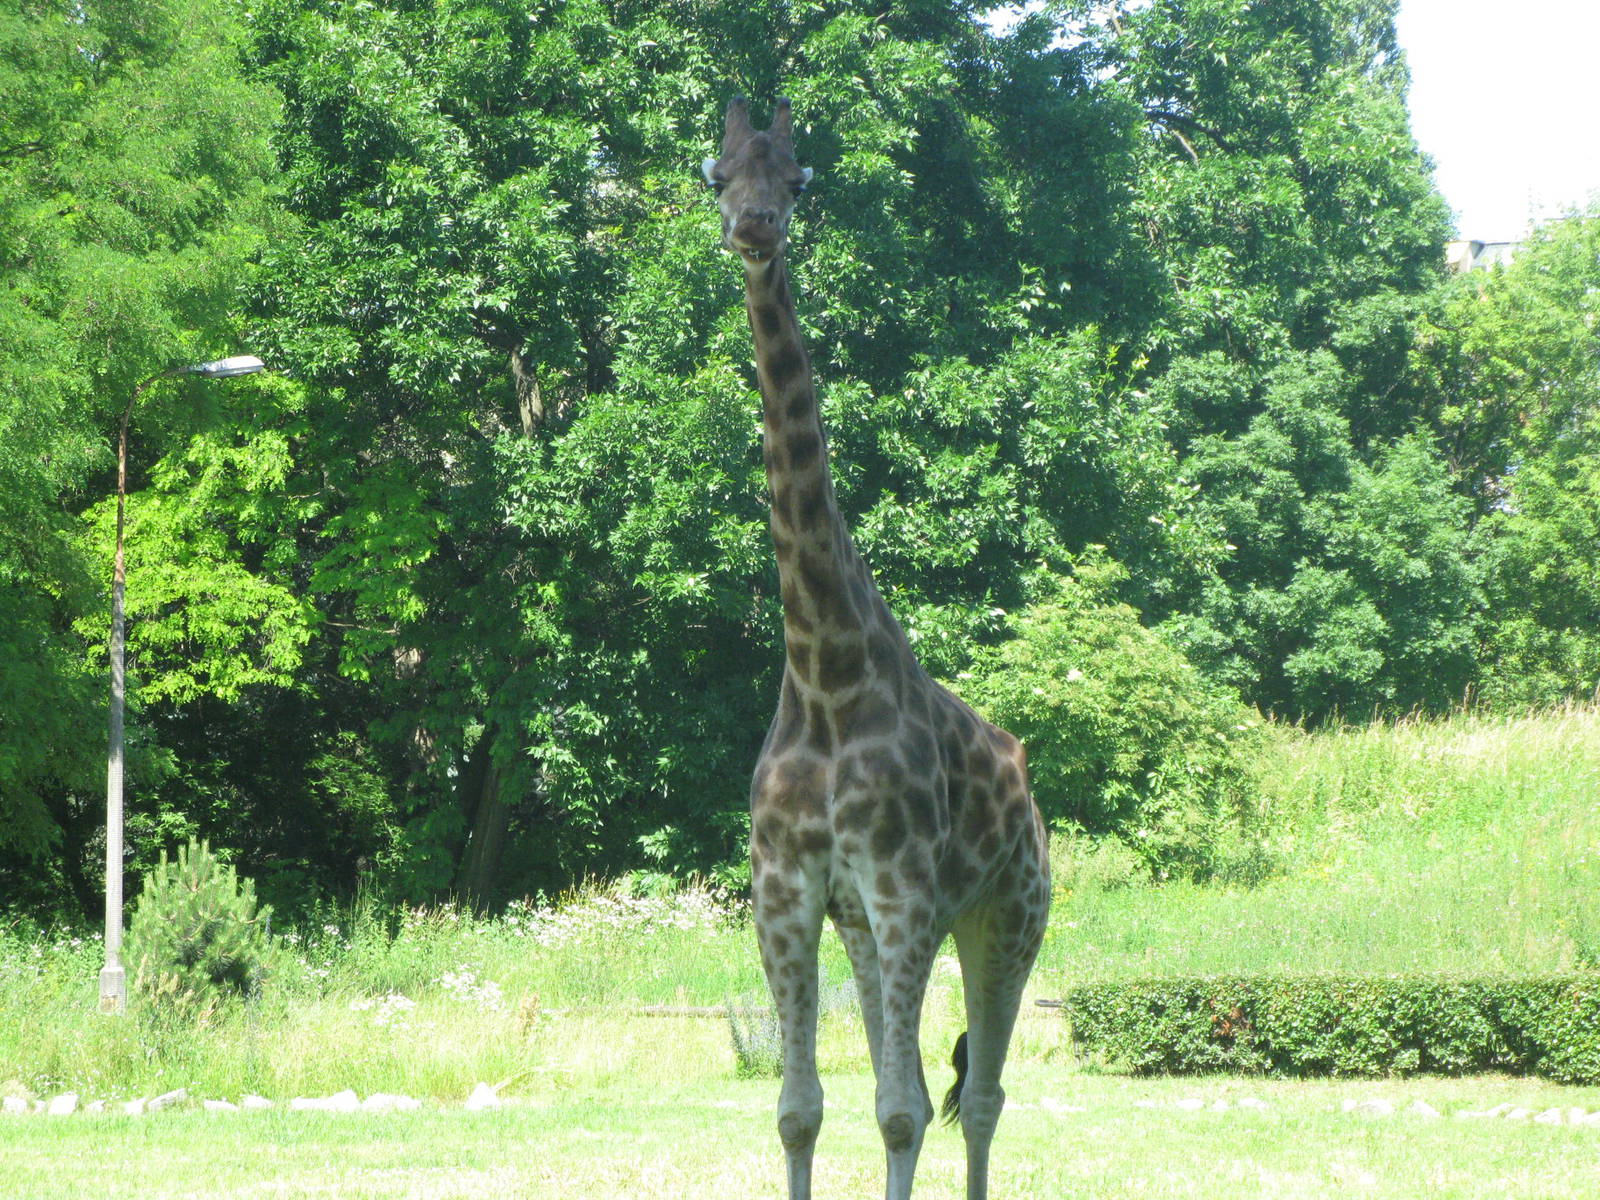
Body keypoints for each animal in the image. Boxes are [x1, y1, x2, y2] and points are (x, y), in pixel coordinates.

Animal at [702, 96, 1051, 1200]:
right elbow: (802, 1109)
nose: (755, 228)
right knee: (937, 1088)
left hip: (1009, 914)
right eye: (715, 173)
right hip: (868, 923)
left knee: (978, 1098)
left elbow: (900, 1111)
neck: (824, 668)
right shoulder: (790, 890)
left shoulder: (904, 891)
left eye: (799, 177)